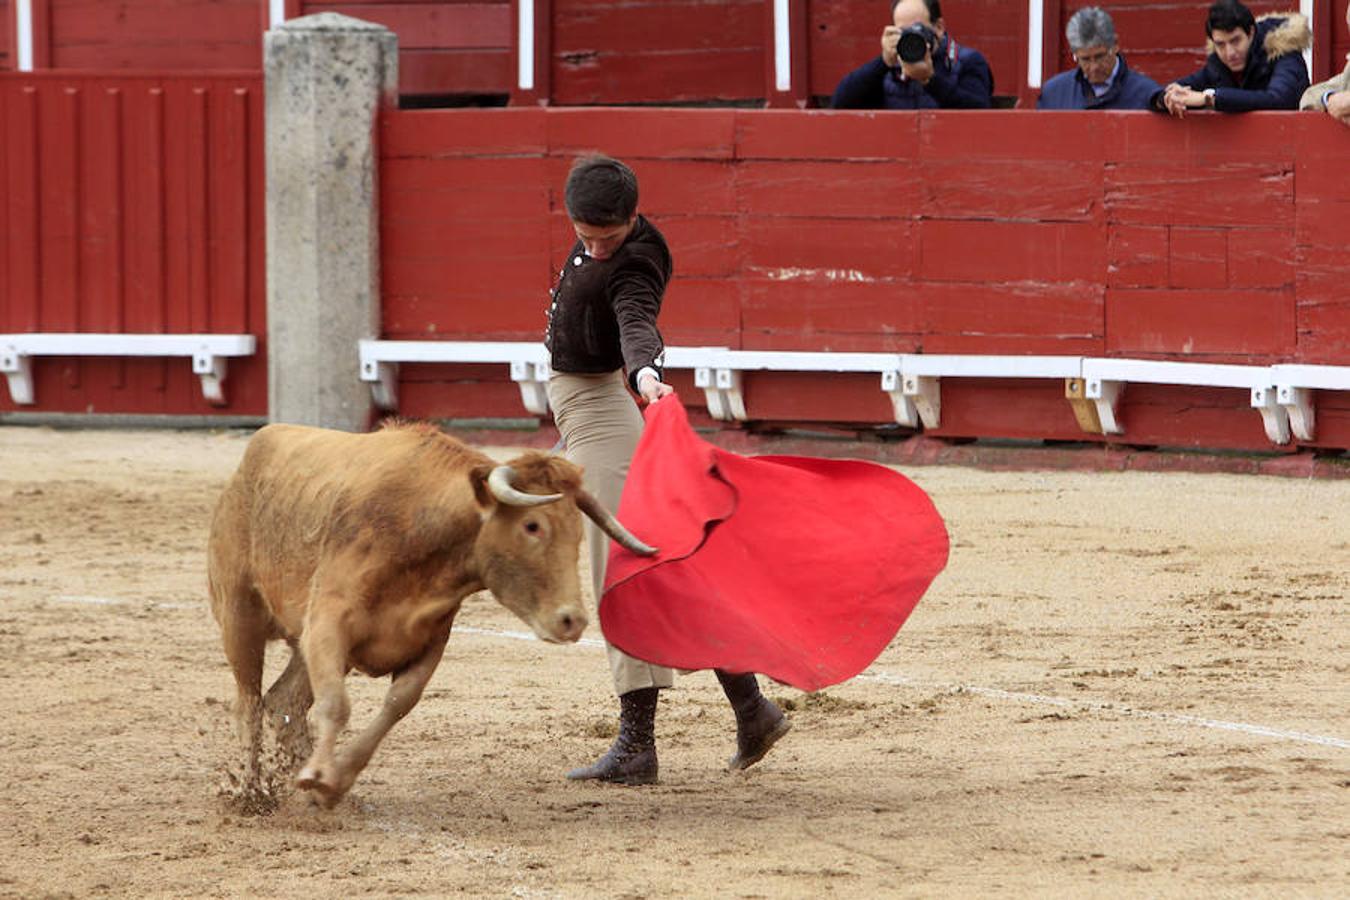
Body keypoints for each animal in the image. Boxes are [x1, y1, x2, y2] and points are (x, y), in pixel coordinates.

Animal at [206, 423, 653, 809]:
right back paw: (251, 792)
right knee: (248, 701)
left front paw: (332, 781)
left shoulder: (427, 641)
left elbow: (396, 705)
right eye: (532, 525)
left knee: (284, 701)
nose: (572, 620)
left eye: (577, 534)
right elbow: (337, 704)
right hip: (240, 617)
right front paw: (318, 776)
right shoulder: (327, 624)